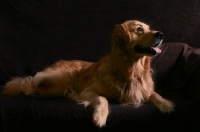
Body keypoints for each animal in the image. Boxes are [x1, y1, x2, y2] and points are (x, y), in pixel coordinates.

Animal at [3, 20, 174, 127]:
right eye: (139, 29)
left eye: (149, 28)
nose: (160, 34)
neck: (130, 69)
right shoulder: (88, 91)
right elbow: (103, 99)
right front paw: (99, 117)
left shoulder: (143, 90)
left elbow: (155, 94)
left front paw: (167, 105)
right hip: (62, 77)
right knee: (33, 82)